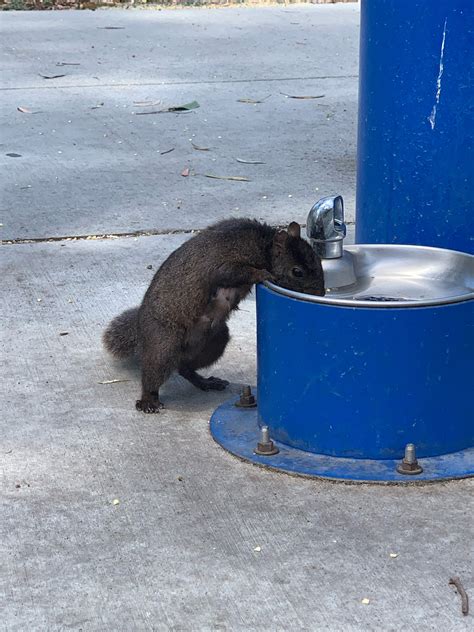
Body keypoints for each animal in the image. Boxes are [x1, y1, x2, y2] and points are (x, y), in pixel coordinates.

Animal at [103, 218, 324, 414]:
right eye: (297, 271)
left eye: (317, 260)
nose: (321, 293)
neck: (264, 246)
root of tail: (140, 329)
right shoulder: (227, 257)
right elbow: (231, 272)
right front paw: (263, 274)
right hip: (164, 343)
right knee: (155, 372)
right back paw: (148, 401)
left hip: (215, 340)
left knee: (184, 367)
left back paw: (205, 382)